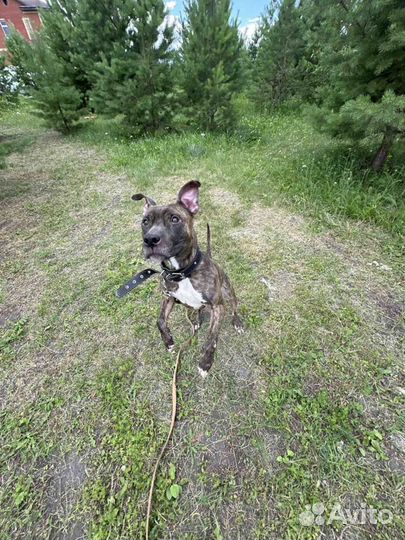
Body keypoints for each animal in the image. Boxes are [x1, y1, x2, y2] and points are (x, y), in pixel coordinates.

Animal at [132, 179, 243, 378]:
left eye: (175, 219)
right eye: (145, 222)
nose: (150, 239)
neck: (182, 272)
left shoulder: (218, 307)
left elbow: (212, 339)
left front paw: (205, 364)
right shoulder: (168, 297)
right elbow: (160, 321)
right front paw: (168, 342)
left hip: (228, 293)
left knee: (234, 308)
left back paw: (236, 322)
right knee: (197, 310)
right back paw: (196, 321)